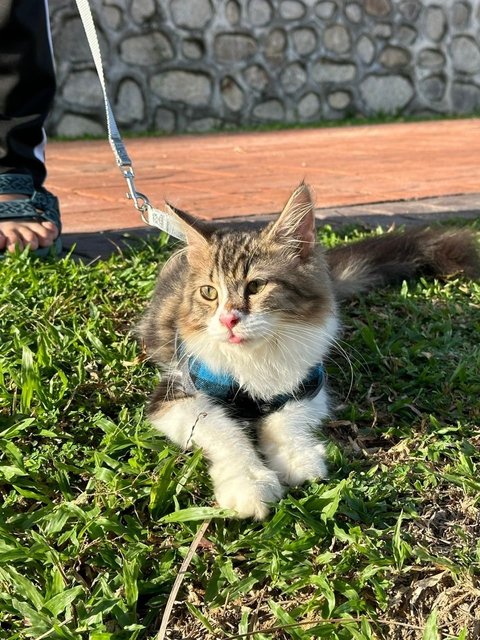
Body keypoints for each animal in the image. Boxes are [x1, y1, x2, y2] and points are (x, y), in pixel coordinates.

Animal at [138, 181, 476, 520]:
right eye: (209, 293)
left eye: (256, 286)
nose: (228, 320)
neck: (254, 359)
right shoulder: (178, 393)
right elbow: (226, 433)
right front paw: (250, 484)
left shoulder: (308, 386)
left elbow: (283, 422)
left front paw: (296, 460)